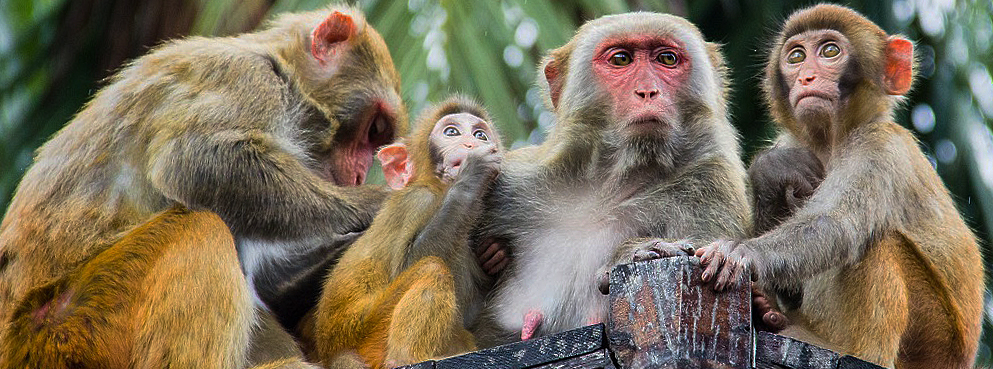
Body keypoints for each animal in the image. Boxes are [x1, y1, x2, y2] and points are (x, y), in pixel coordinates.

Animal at [0, 5, 404, 368]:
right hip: (70, 325)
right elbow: (195, 160)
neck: (282, 70)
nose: (359, 176)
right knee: (200, 226)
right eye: (374, 130)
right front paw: (377, 203)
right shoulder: (247, 79)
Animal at [306, 96, 500, 366]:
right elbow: (409, 262)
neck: (439, 190)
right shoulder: (417, 201)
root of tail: (333, 353)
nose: (471, 142)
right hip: (370, 333)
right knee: (433, 268)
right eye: (452, 132)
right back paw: (404, 358)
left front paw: (495, 255)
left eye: (481, 134)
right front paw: (473, 176)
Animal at [468, 10, 748, 344]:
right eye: (621, 59)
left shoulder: (712, 185)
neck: (611, 183)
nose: (647, 91)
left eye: (667, 58)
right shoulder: (510, 184)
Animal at [696, 4, 984, 366]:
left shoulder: (879, 146)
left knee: (878, 243)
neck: (832, 141)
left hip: (933, 340)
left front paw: (742, 253)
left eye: (830, 51)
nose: (806, 77)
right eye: (796, 56)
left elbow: (836, 225)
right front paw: (773, 170)